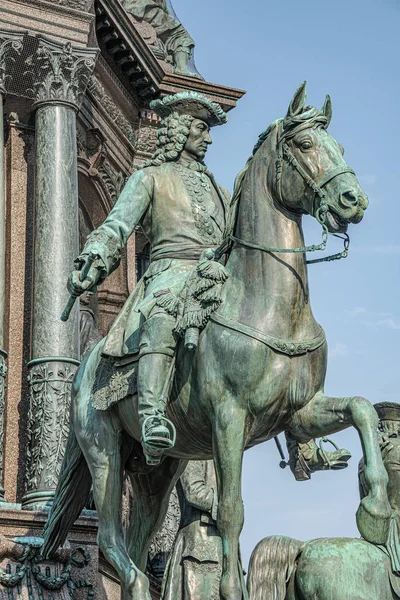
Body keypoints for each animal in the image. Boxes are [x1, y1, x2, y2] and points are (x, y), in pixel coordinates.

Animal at [41, 83, 390, 600]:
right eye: (306, 144)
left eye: (341, 146)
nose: (353, 200)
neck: (269, 305)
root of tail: (84, 366)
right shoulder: (230, 418)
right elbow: (231, 512)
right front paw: (230, 589)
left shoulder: (302, 412)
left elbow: (363, 408)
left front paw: (376, 509)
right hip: (103, 450)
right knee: (110, 538)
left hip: (157, 470)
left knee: (140, 539)